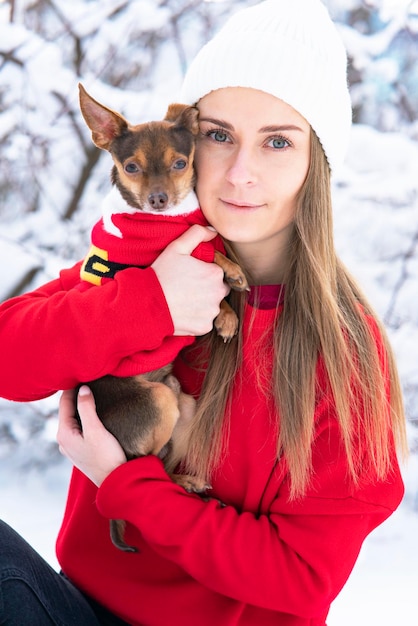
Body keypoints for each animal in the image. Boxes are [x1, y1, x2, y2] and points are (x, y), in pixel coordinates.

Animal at [76, 84, 248, 552]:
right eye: (131, 167)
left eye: (180, 163)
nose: (158, 199)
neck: (169, 222)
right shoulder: (163, 263)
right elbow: (211, 256)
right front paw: (228, 296)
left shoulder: (202, 233)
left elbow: (214, 242)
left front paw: (229, 291)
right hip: (159, 402)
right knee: (143, 464)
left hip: (182, 404)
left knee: (162, 468)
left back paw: (186, 481)